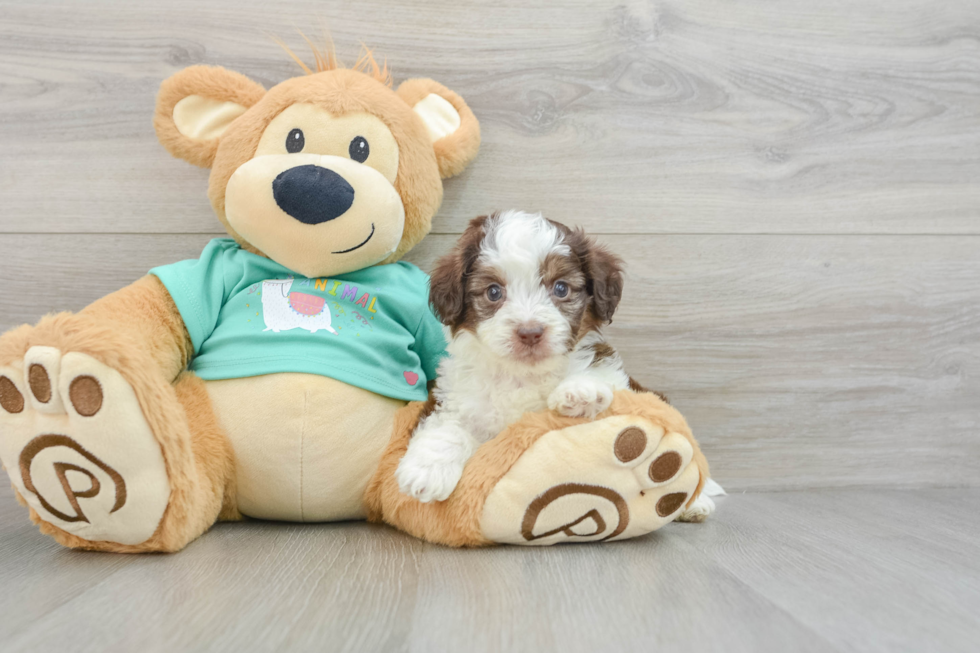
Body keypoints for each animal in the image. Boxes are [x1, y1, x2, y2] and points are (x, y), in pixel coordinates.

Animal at [394, 209, 632, 500]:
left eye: (561, 288)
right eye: (493, 292)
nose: (530, 333)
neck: (522, 374)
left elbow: (604, 378)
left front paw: (581, 393)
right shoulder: (454, 396)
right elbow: (447, 424)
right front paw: (426, 469)